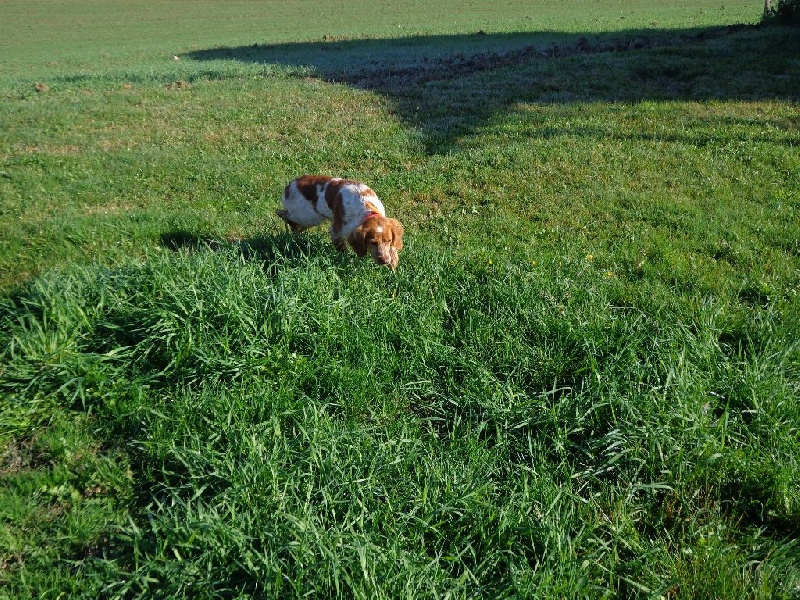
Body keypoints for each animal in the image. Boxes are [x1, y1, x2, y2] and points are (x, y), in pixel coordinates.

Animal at [276, 176, 404, 270]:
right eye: (372, 242)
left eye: (388, 241)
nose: (384, 261)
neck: (367, 208)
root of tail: (288, 186)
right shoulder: (336, 230)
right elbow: (343, 250)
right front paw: (346, 263)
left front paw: (393, 263)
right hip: (306, 216)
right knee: (283, 215)